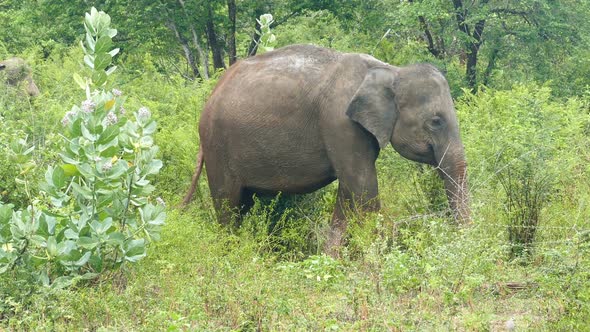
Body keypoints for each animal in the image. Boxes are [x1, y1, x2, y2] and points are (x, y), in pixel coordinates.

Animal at [185, 44, 472, 256]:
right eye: (436, 121)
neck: (390, 70)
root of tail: (211, 96)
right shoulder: (340, 123)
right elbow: (363, 187)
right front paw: (375, 259)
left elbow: (348, 190)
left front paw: (331, 259)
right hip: (218, 146)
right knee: (228, 205)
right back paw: (231, 255)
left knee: (244, 203)